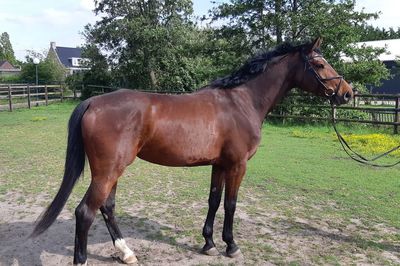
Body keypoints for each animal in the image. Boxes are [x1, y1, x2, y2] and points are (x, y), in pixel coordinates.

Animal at [32, 38, 354, 264]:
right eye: (320, 64)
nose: (347, 93)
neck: (241, 101)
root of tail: (93, 101)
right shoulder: (237, 165)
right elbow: (231, 204)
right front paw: (231, 246)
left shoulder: (219, 164)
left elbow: (213, 201)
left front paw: (209, 244)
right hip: (108, 171)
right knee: (85, 212)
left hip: (112, 171)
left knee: (107, 208)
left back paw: (127, 253)